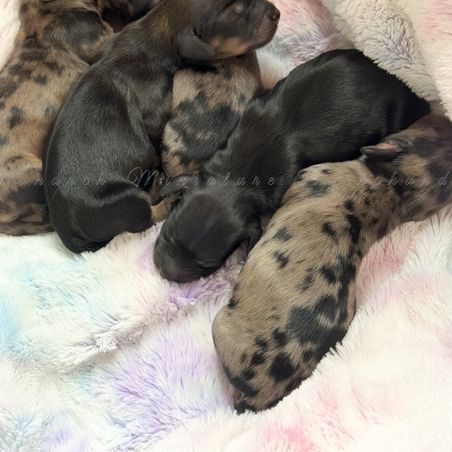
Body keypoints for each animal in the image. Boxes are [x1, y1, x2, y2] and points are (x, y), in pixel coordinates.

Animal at [44, 0, 280, 253]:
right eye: (235, 15)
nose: (277, 13)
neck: (156, 32)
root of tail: (69, 235)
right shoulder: (156, 113)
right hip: (124, 200)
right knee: (146, 215)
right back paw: (164, 197)